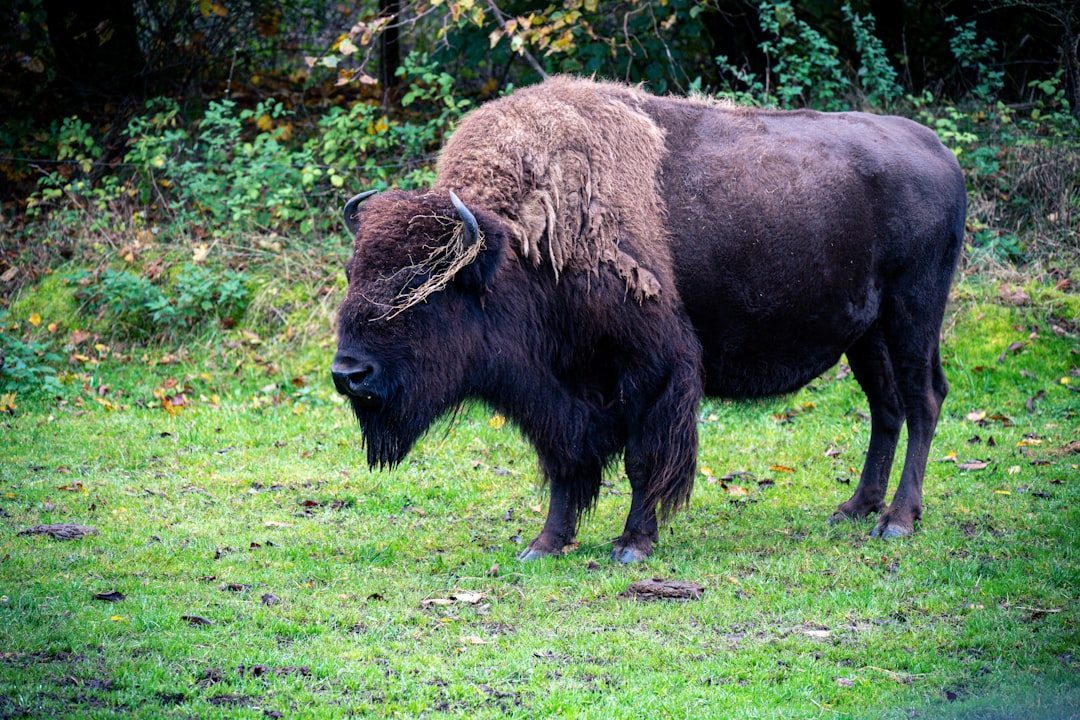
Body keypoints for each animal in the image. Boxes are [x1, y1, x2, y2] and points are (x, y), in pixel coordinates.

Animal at [332, 77, 965, 563]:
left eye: (422, 287)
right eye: (352, 273)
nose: (347, 374)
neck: (522, 248)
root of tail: (938, 150)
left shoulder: (653, 372)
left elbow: (642, 461)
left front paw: (632, 545)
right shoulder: (564, 392)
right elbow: (566, 465)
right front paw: (546, 544)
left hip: (913, 314)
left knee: (923, 400)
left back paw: (898, 521)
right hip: (866, 334)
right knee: (885, 407)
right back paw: (855, 508)